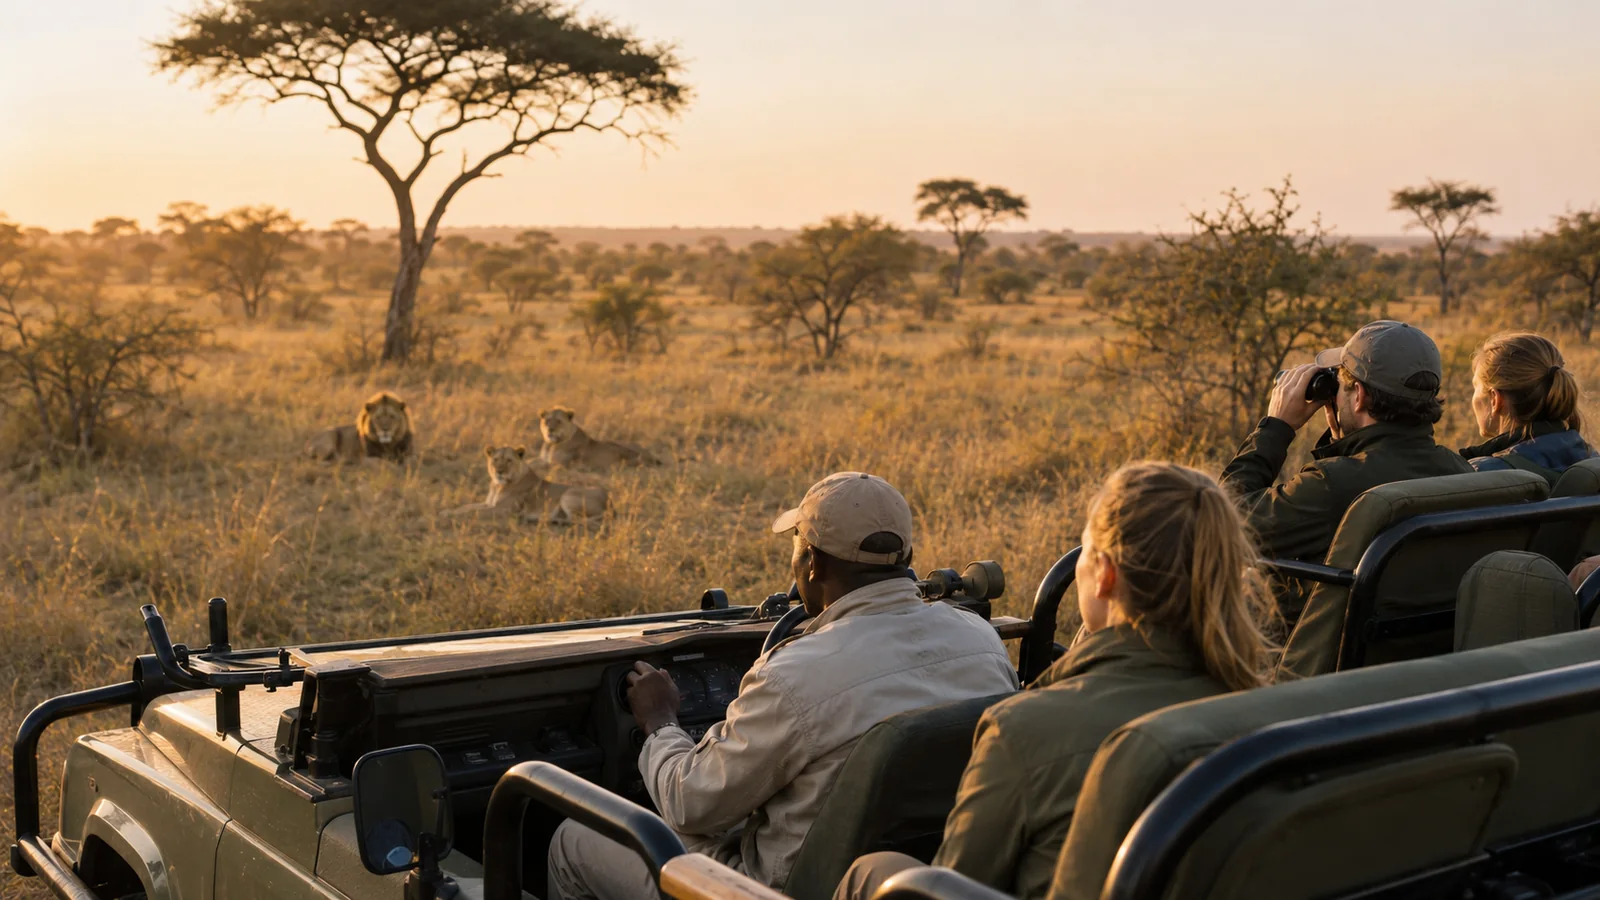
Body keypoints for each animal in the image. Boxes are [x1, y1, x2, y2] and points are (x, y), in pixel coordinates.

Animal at [445, 445, 608, 525]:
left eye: (509, 460)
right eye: (496, 459)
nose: (499, 471)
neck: (498, 485)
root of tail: (609, 502)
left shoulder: (503, 510)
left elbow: (474, 512)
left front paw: (453, 517)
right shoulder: (489, 504)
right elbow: (467, 507)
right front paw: (447, 512)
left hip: (568, 495)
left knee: (577, 520)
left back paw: (547, 519)